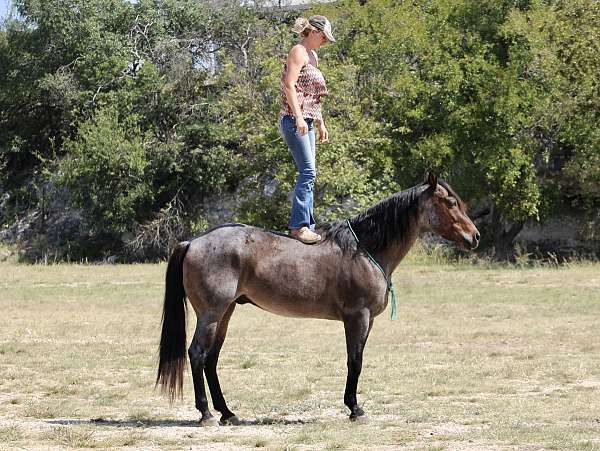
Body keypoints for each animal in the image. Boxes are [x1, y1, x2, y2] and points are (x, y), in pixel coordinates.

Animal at [157, 171, 480, 426]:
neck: (365, 249)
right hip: (211, 313)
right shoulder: (357, 317)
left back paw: (227, 413)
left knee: (211, 359)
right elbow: (355, 361)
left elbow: (357, 360)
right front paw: (355, 409)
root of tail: (193, 241)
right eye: (451, 203)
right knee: (197, 354)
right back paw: (206, 414)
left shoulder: (368, 321)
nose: (475, 236)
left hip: (225, 313)